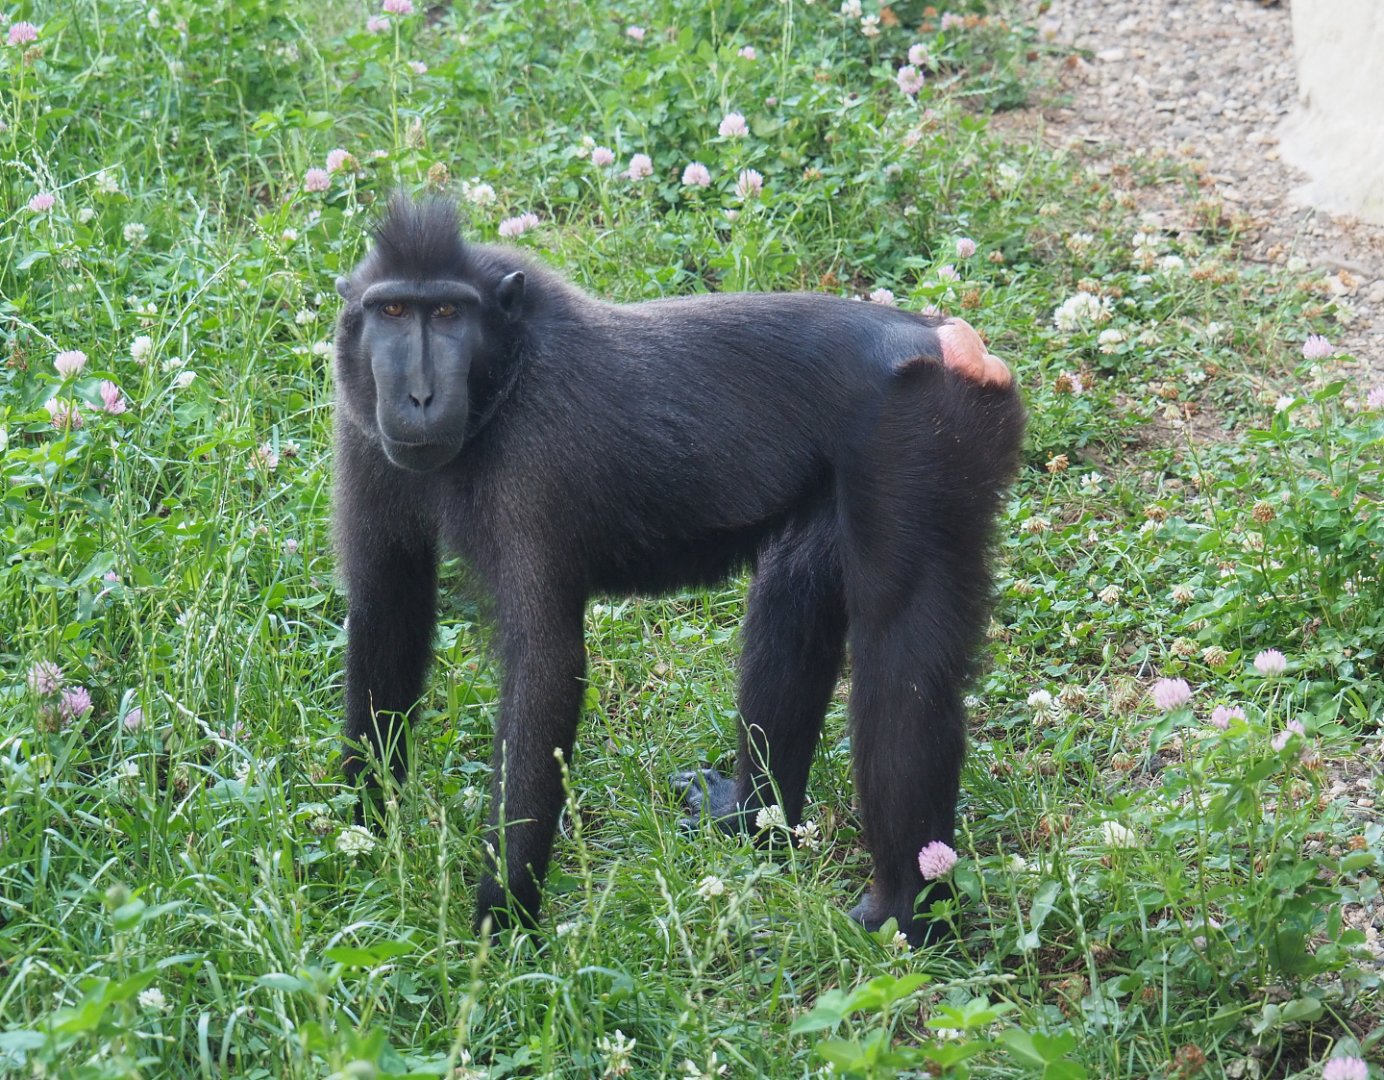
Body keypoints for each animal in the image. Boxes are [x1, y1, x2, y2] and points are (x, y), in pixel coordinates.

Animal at [332, 195, 1024, 946]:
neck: (508, 371)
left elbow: (544, 669)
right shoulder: (361, 429)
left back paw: (904, 913)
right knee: (795, 588)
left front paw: (503, 924)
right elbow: (387, 609)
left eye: (447, 314)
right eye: (392, 311)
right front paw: (363, 839)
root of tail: (945, 341)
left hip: (923, 436)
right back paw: (751, 818)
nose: (419, 397)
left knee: (902, 659)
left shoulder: (532, 459)